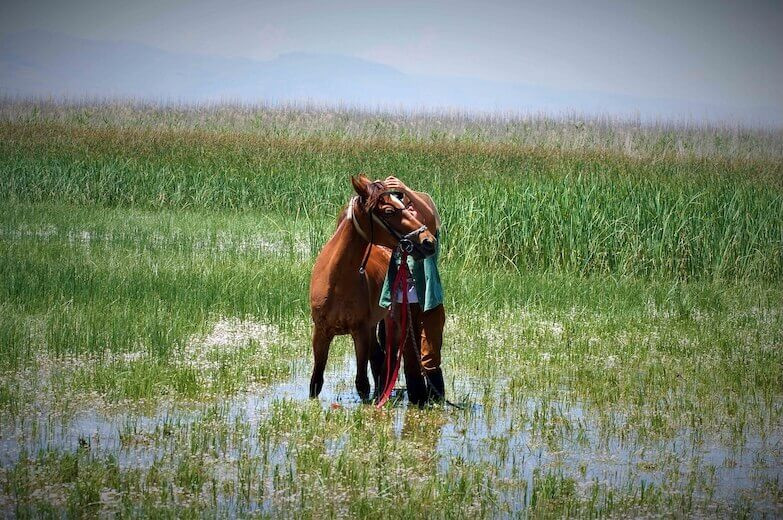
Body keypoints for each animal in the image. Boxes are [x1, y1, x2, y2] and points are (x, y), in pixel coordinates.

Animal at [310, 177, 438, 400]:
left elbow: (362, 384)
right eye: (388, 211)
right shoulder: (321, 333)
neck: (336, 282)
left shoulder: (360, 332)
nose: (428, 241)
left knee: (389, 360)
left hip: (390, 321)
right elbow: (316, 383)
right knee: (379, 359)